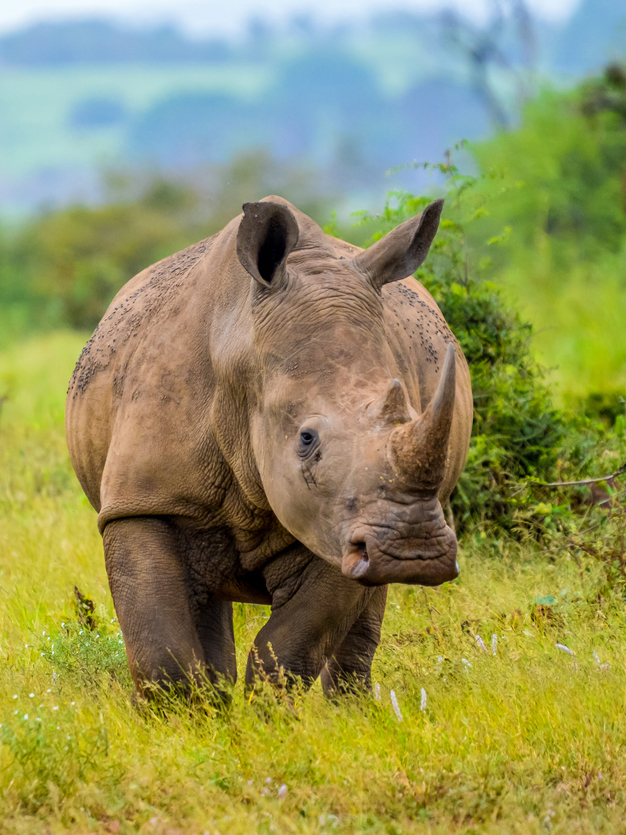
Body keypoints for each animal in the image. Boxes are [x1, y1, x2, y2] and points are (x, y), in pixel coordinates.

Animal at [66, 196, 473, 698]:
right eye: (306, 439)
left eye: (411, 415)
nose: (415, 551)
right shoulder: (142, 500)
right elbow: (161, 651)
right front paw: (183, 717)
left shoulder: (337, 522)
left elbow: (289, 646)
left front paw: (267, 714)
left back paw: (351, 711)